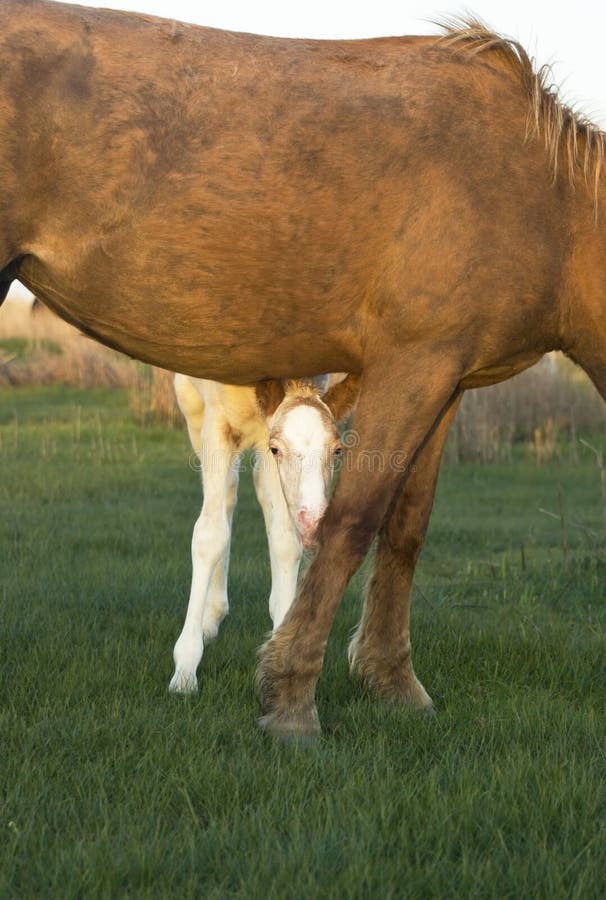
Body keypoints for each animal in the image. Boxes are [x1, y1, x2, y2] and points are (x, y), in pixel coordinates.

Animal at [167, 370, 356, 692]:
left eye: (337, 450)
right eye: (279, 448)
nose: (315, 522)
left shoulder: (267, 434)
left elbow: (285, 540)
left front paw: (283, 662)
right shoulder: (221, 424)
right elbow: (210, 535)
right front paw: (185, 671)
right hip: (192, 406)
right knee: (226, 495)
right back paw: (210, 617)